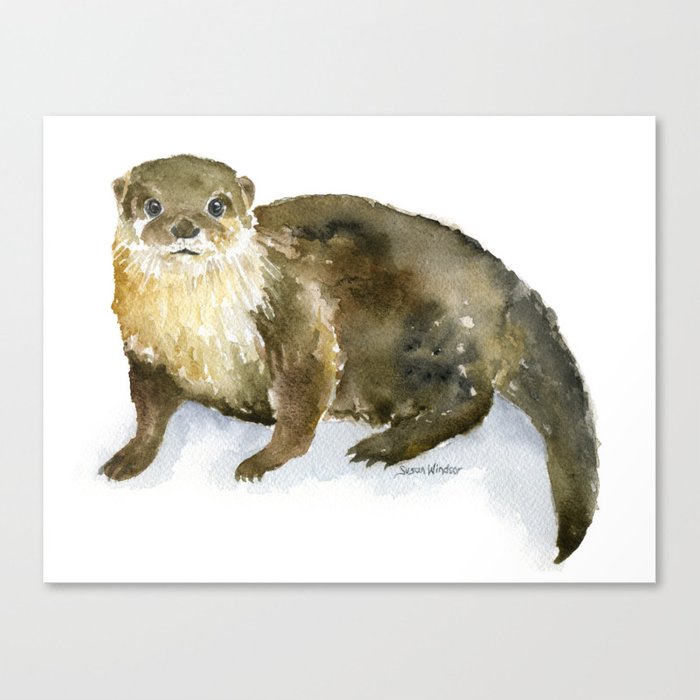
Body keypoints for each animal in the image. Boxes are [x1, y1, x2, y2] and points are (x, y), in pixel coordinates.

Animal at [102, 154, 599, 563]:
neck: (198, 333)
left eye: (217, 205)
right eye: (152, 206)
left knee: (471, 398)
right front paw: (128, 456)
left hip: (423, 339)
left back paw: (384, 445)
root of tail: (503, 285)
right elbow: (148, 410)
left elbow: (300, 402)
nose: (185, 226)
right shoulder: (144, 348)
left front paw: (263, 460)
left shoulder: (296, 315)